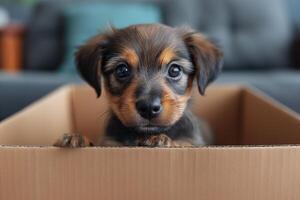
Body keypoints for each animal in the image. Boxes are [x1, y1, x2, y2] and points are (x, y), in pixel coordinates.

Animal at [54, 23, 223, 148]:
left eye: (175, 70)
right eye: (122, 70)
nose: (148, 107)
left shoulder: (190, 142)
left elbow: (181, 143)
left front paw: (162, 140)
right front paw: (77, 138)